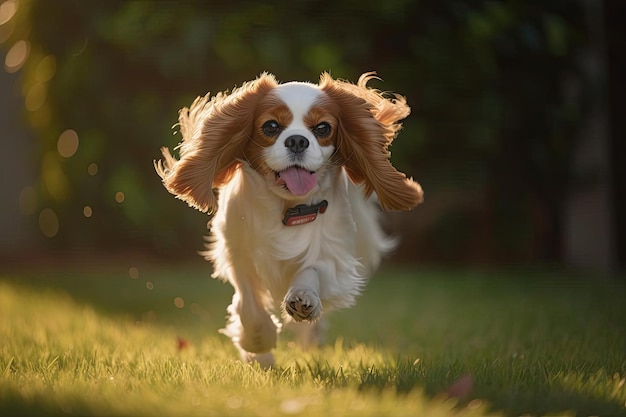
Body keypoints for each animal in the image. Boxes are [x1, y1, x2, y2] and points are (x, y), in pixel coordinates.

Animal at [154, 73, 422, 366]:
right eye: (270, 126)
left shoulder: (333, 253)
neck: (289, 207)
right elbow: (249, 305)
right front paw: (258, 344)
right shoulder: (238, 253)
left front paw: (303, 298)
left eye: (323, 128)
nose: (297, 141)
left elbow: (312, 271)